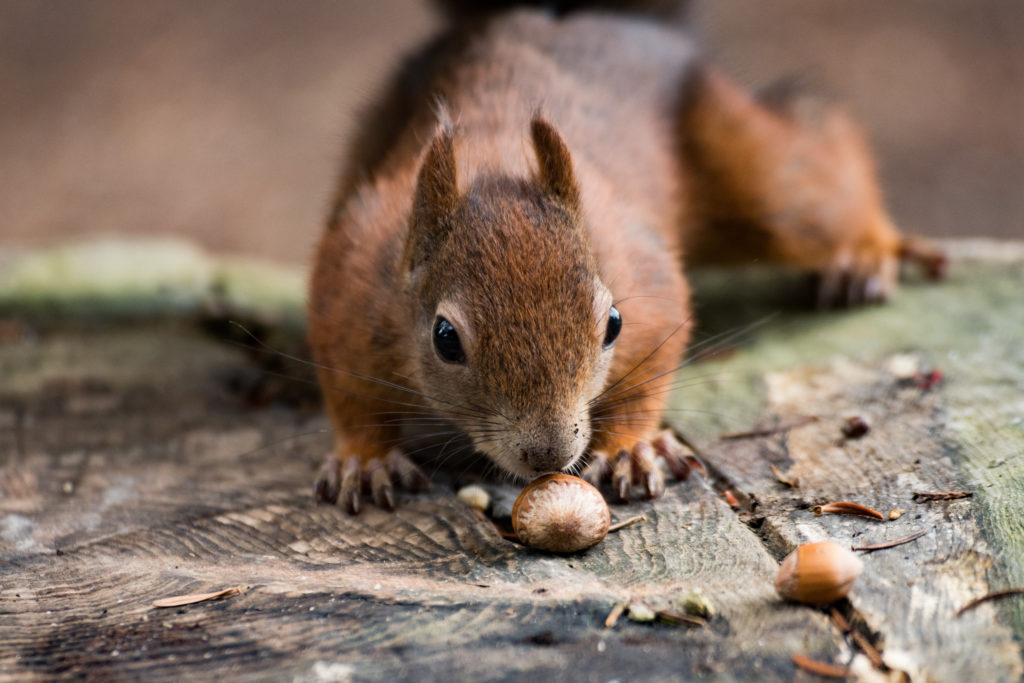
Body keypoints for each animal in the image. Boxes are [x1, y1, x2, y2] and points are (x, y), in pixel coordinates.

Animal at [305, 0, 942, 511]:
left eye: (612, 323)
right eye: (445, 339)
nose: (548, 454)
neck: (492, 158)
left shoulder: (646, 282)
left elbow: (648, 368)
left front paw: (633, 447)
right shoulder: (350, 284)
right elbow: (350, 391)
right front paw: (365, 459)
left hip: (761, 179)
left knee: (816, 152)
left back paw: (865, 254)